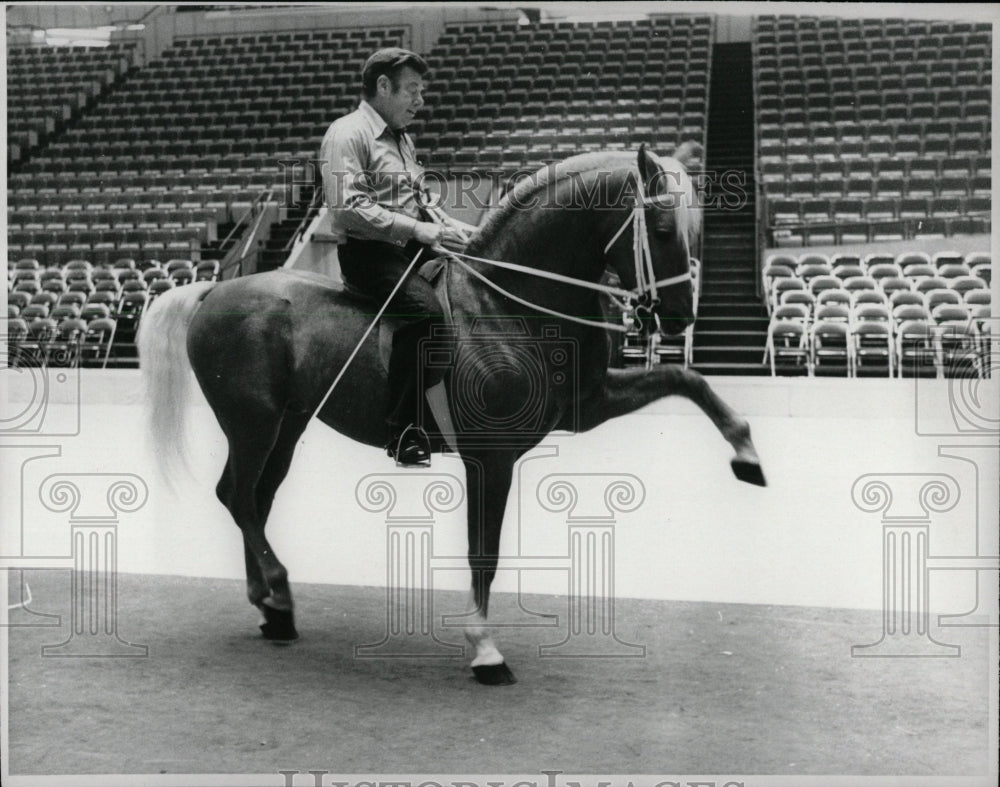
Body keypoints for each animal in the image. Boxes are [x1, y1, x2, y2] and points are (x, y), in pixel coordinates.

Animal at [137, 145, 764, 688]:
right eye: (661, 231)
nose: (680, 316)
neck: (507, 305)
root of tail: (213, 293)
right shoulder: (491, 456)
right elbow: (482, 552)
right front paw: (484, 650)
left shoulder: (589, 405)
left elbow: (685, 380)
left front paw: (747, 453)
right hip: (253, 422)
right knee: (239, 497)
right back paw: (279, 592)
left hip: (286, 425)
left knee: (254, 499)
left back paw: (271, 610)